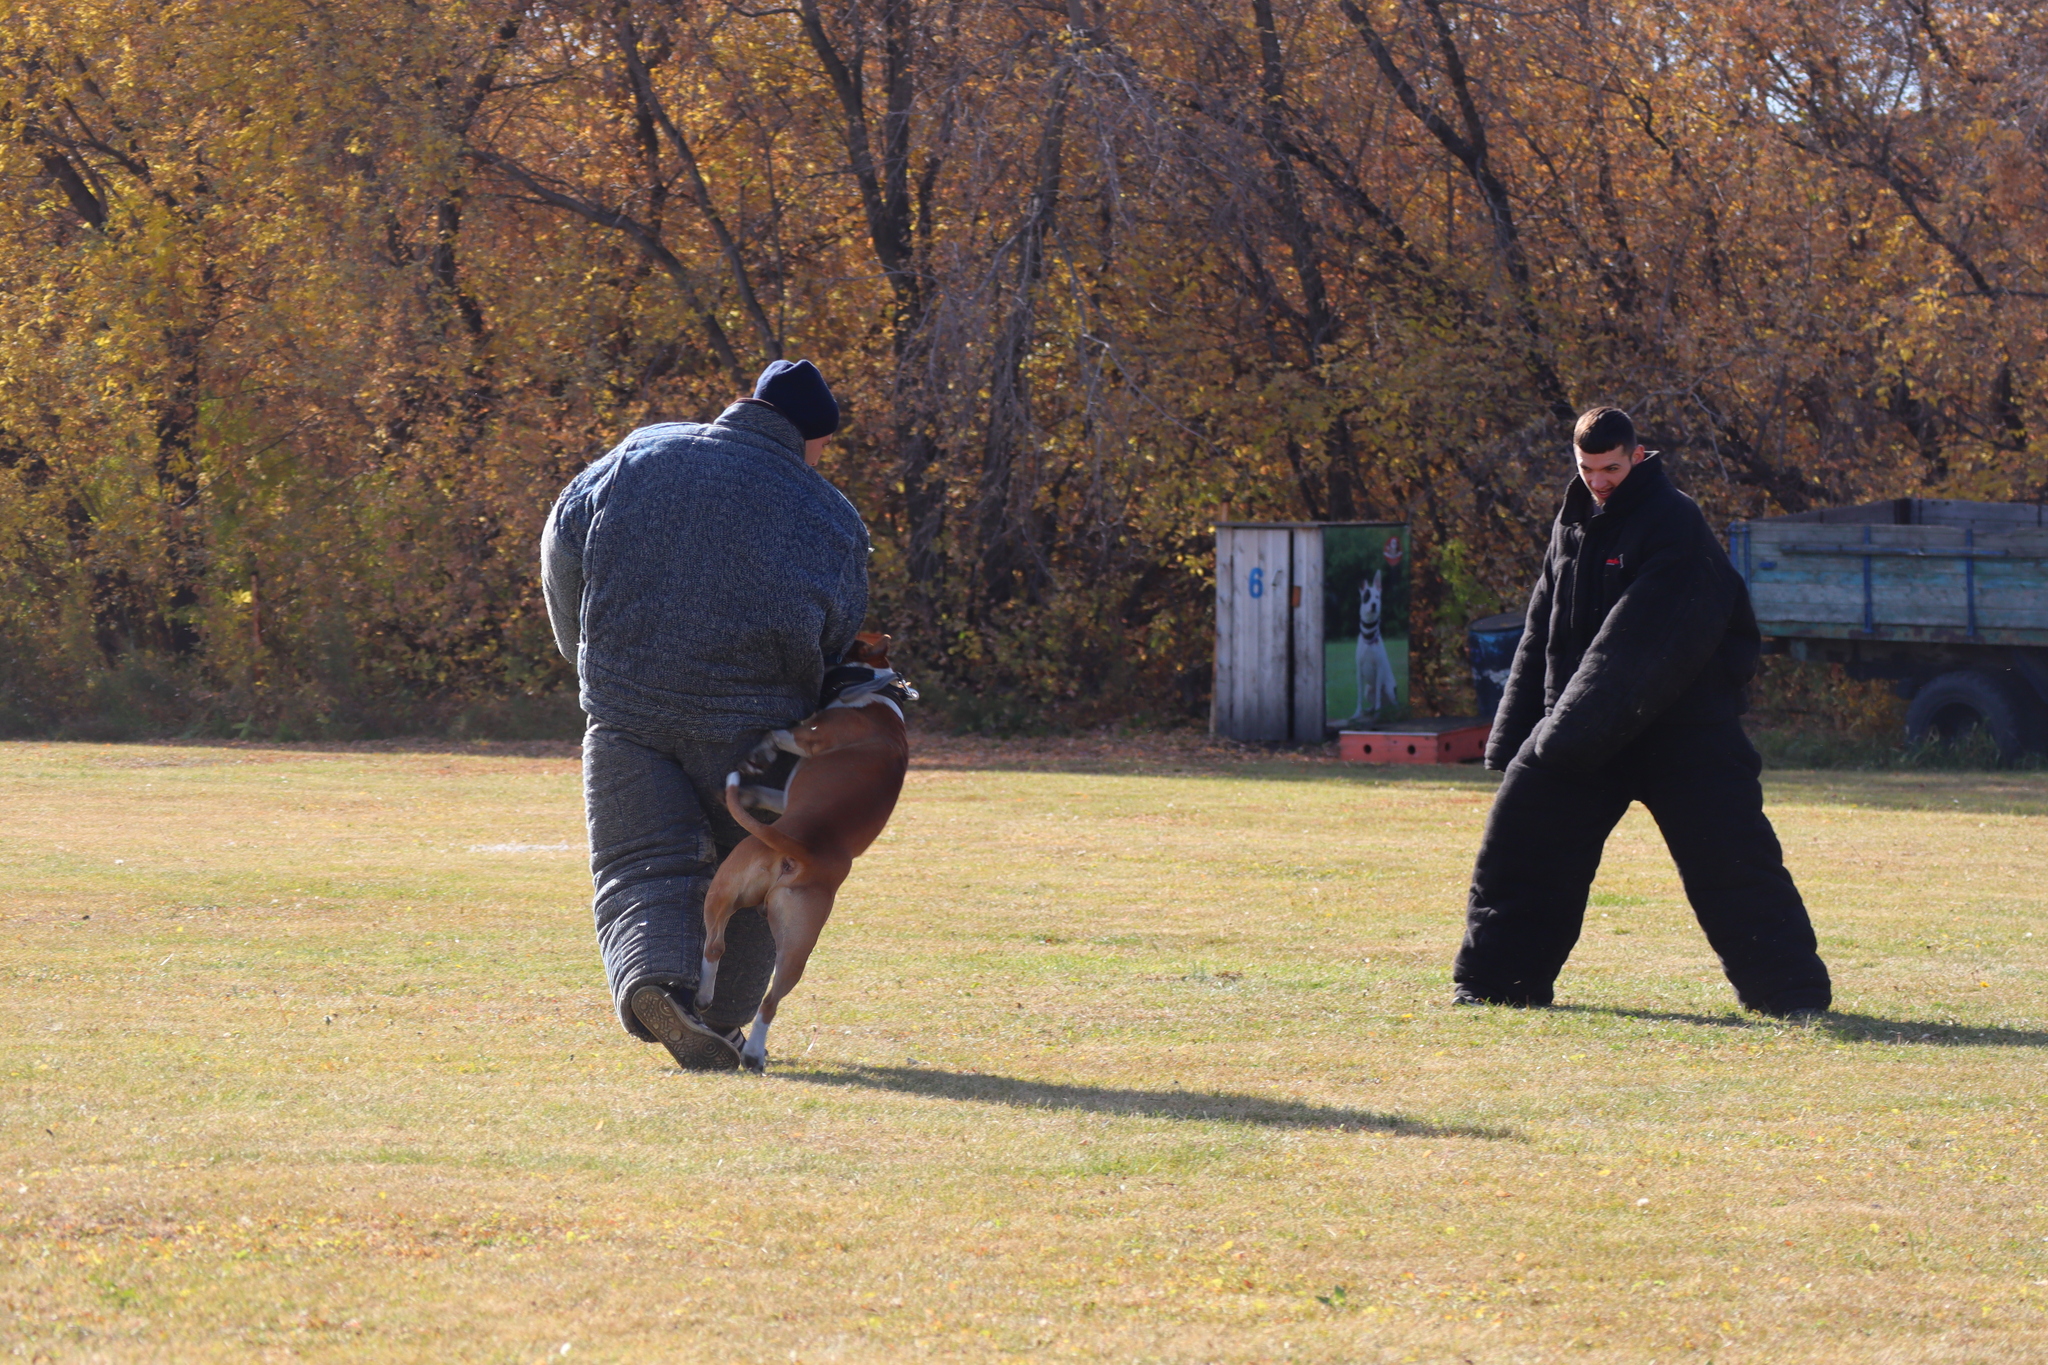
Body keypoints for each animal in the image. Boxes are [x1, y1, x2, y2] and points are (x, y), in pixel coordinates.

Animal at [696, 634, 905, 1072]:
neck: (878, 694)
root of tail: (804, 850)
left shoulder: (811, 737)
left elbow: (780, 731)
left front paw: (759, 749)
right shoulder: (783, 795)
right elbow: (764, 788)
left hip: (726, 884)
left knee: (714, 947)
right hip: (795, 945)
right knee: (770, 1000)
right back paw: (753, 1051)